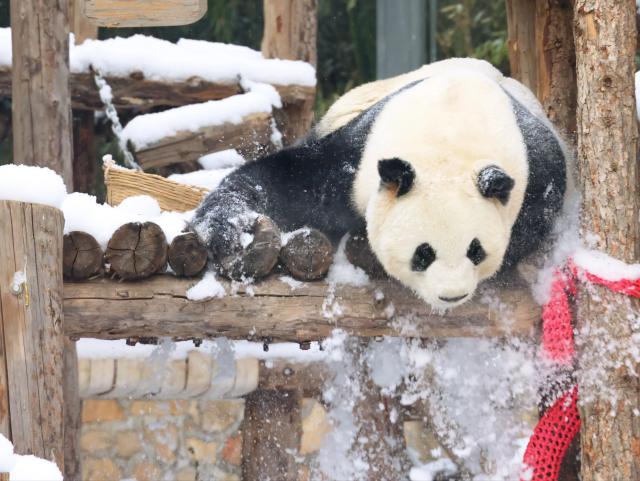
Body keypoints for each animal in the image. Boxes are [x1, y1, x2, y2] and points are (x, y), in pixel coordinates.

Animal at [192, 58, 568, 310]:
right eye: (423, 253)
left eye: (476, 250)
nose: (452, 295)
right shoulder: (357, 156)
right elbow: (290, 182)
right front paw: (228, 228)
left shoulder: (536, 166)